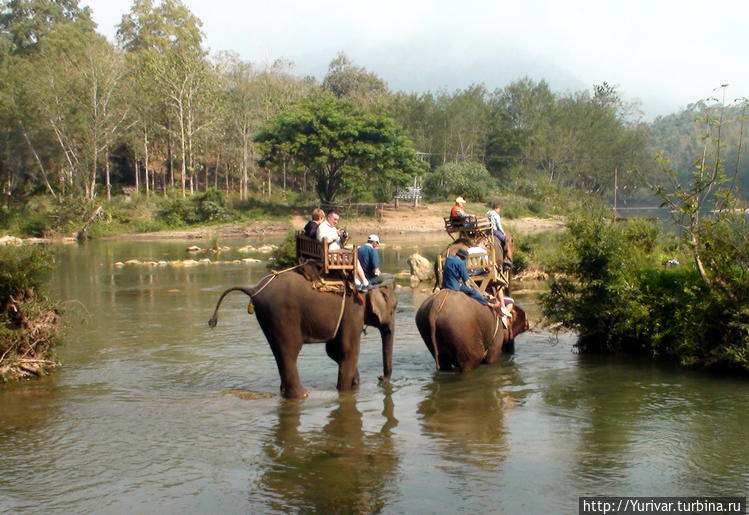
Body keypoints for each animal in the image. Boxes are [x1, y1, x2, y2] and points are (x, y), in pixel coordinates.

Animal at [207, 266, 398, 400]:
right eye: (394, 308)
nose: (380, 378)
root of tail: (254, 289)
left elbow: (334, 351)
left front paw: (354, 385)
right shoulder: (353, 310)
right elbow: (348, 350)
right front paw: (345, 392)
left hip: (269, 318)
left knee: (279, 352)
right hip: (283, 316)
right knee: (289, 352)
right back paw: (302, 395)